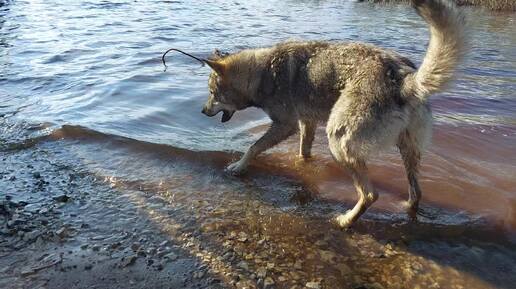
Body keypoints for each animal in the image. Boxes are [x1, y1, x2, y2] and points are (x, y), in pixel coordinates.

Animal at [162, 0, 468, 227]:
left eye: (212, 92)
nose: (202, 110)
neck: (261, 74)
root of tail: (405, 79)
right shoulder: (306, 124)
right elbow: (303, 153)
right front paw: (302, 166)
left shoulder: (285, 124)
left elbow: (253, 147)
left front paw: (238, 167)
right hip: (408, 150)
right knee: (416, 192)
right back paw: (405, 208)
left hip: (339, 141)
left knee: (370, 194)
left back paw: (345, 221)